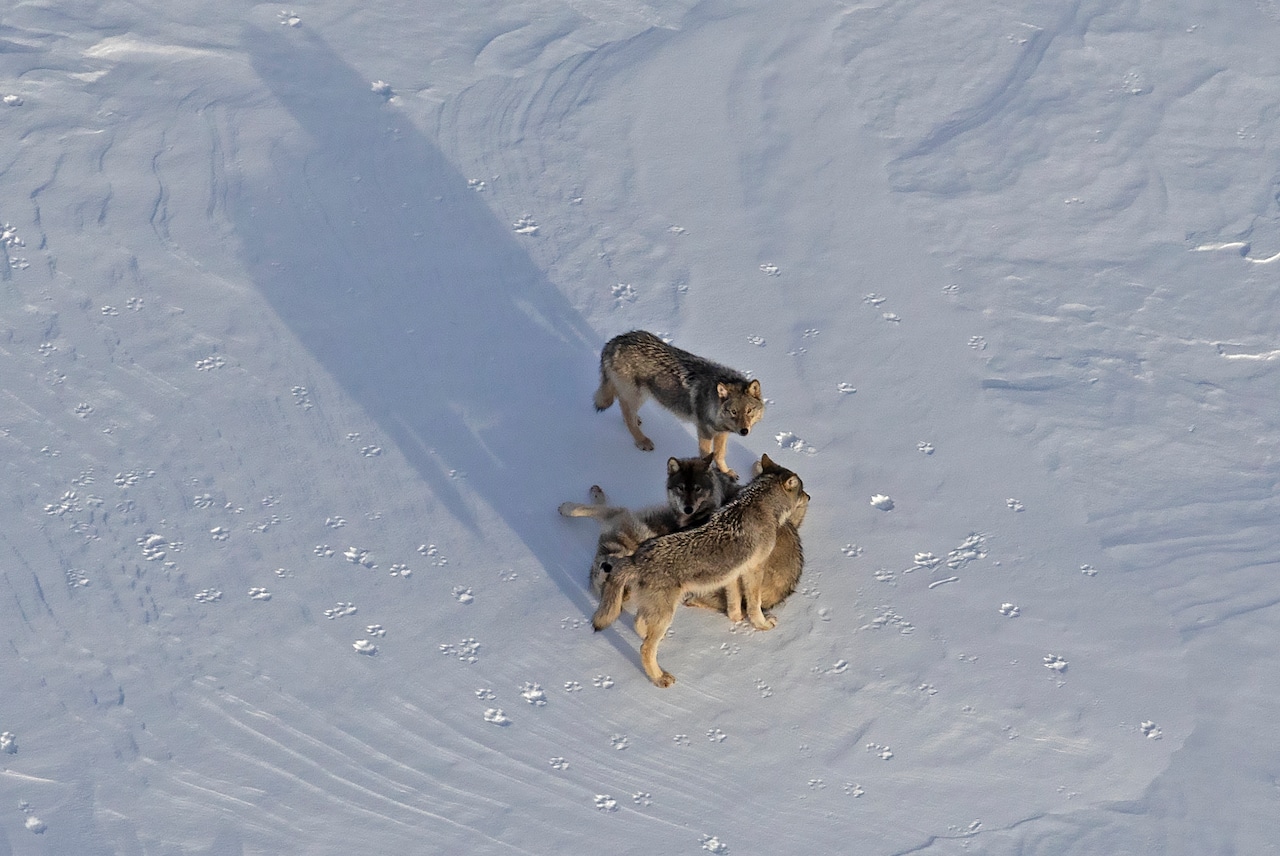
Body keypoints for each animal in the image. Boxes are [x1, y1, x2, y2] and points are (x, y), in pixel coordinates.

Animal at [591, 454, 806, 687]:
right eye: (802, 490)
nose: (810, 496)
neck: (759, 503)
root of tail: (635, 558)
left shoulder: (732, 573)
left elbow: (734, 604)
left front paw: (737, 620)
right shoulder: (753, 569)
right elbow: (754, 605)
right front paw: (762, 624)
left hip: (658, 609)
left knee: (638, 623)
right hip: (665, 612)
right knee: (645, 649)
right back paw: (659, 678)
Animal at [594, 330, 765, 478]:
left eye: (749, 411)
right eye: (734, 412)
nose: (744, 431)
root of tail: (616, 340)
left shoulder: (721, 433)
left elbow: (719, 454)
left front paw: (726, 472)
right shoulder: (704, 431)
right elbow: (707, 456)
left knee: (624, 407)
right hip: (638, 396)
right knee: (626, 411)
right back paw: (642, 440)